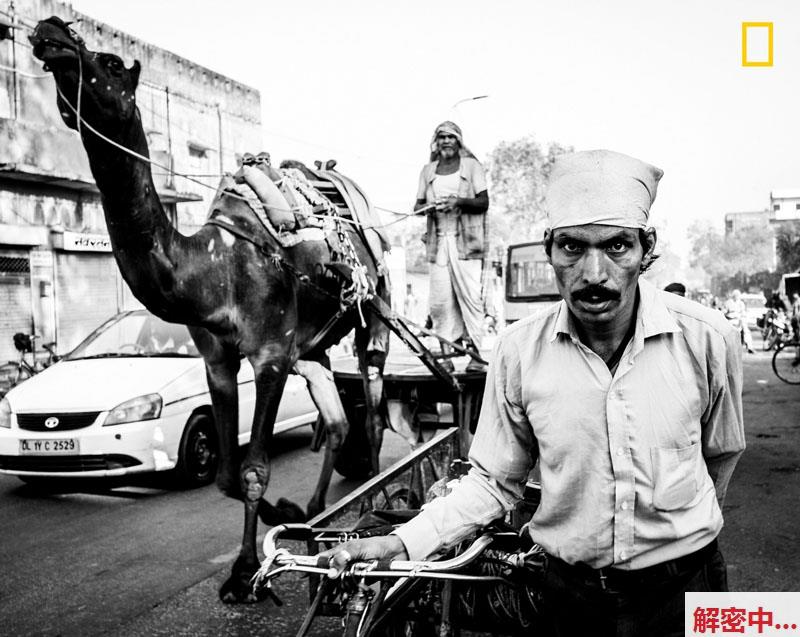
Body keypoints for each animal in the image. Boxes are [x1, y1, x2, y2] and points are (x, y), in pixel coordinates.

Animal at [30, 14, 390, 600]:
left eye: (109, 62)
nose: (51, 28)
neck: (214, 273)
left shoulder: (270, 354)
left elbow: (254, 469)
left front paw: (245, 572)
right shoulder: (218, 358)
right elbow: (223, 474)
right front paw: (284, 516)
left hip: (375, 311)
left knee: (375, 410)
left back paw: (374, 496)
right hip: (313, 349)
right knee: (338, 421)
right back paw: (317, 510)